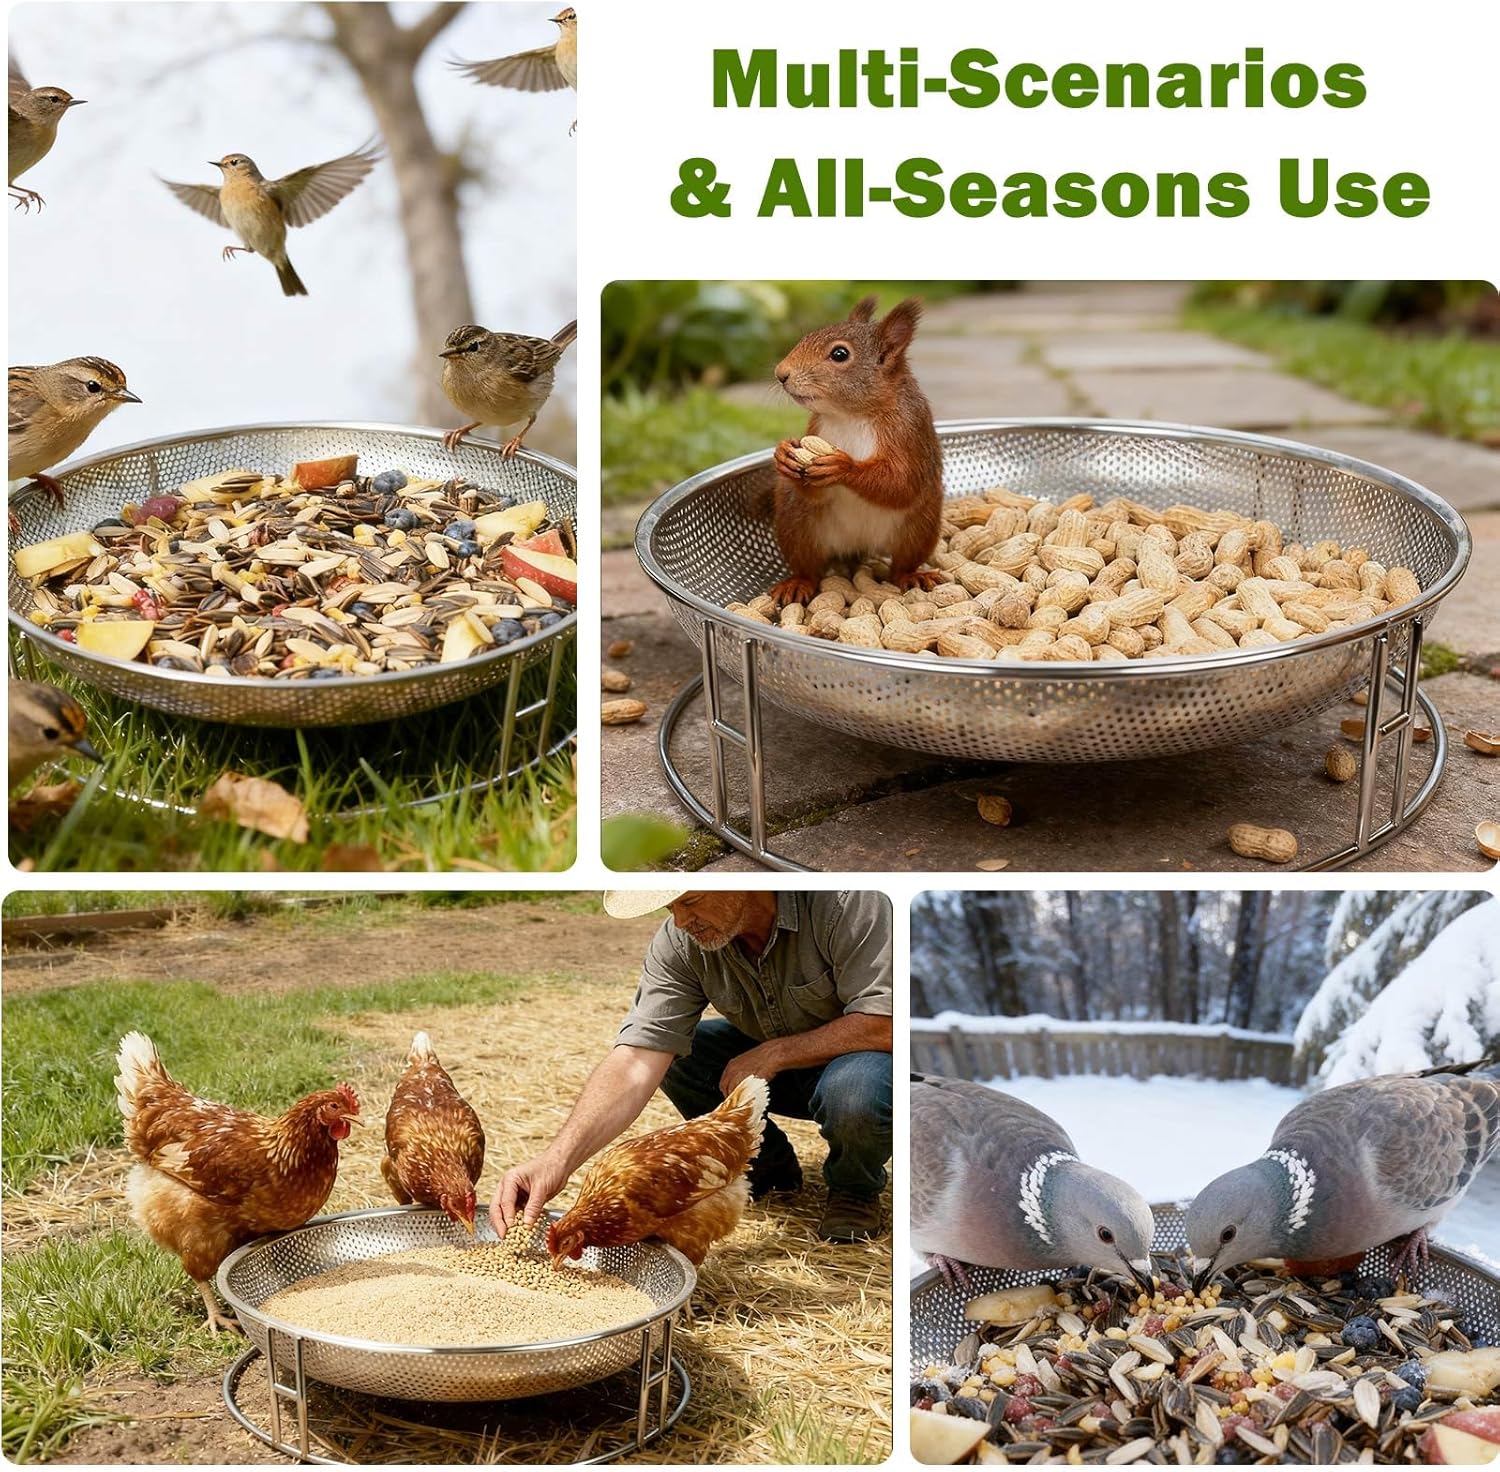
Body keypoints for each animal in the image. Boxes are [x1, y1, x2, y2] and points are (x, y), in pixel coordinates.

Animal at [768, 295, 945, 606]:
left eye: (840, 354)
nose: (781, 373)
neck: (850, 415)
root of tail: (859, 544)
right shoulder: (815, 429)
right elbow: (815, 489)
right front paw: (783, 455)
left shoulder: (908, 433)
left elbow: (902, 483)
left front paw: (843, 466)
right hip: (798, 524)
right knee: (809, 568)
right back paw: (798, 582)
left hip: (919, 527)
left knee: (901, 565)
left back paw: (911, 576)